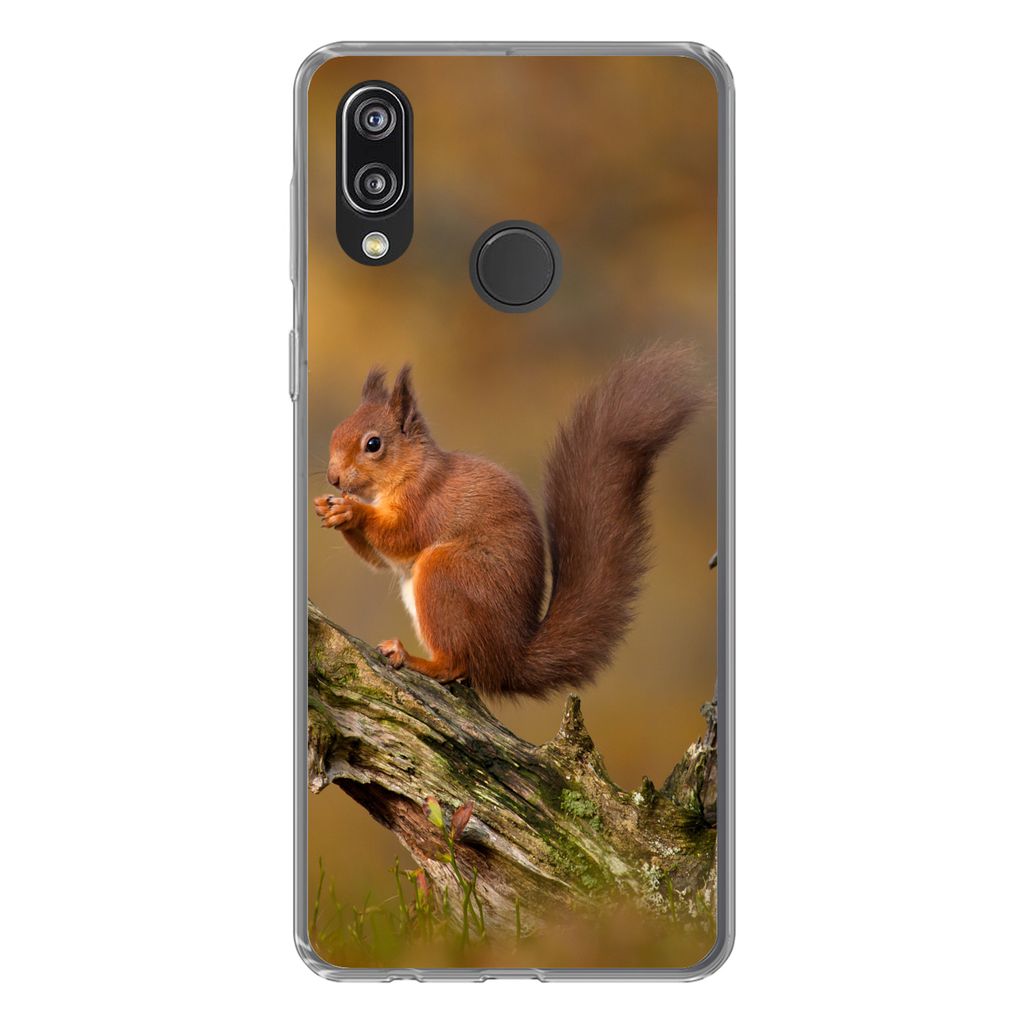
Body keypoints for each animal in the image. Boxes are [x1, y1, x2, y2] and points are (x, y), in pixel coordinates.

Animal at [313, 345, 704, 699]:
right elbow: (380, 561)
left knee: (456, 664)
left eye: (373, 444)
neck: (409, 471)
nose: (333, 477)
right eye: (335, 433)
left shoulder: (426, 502)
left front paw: (352, 511)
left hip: (446, 574)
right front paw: (329, 509)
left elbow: (402, 537)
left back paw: (413, 658)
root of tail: (509, 660)